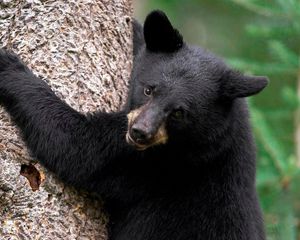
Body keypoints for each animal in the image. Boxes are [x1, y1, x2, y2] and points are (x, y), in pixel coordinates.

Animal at [0, 9, 268, 240]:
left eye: (179, 112)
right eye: (149, 89)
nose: (139, 132)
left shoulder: (159, 163)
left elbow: (78, 149)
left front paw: (10, 68)